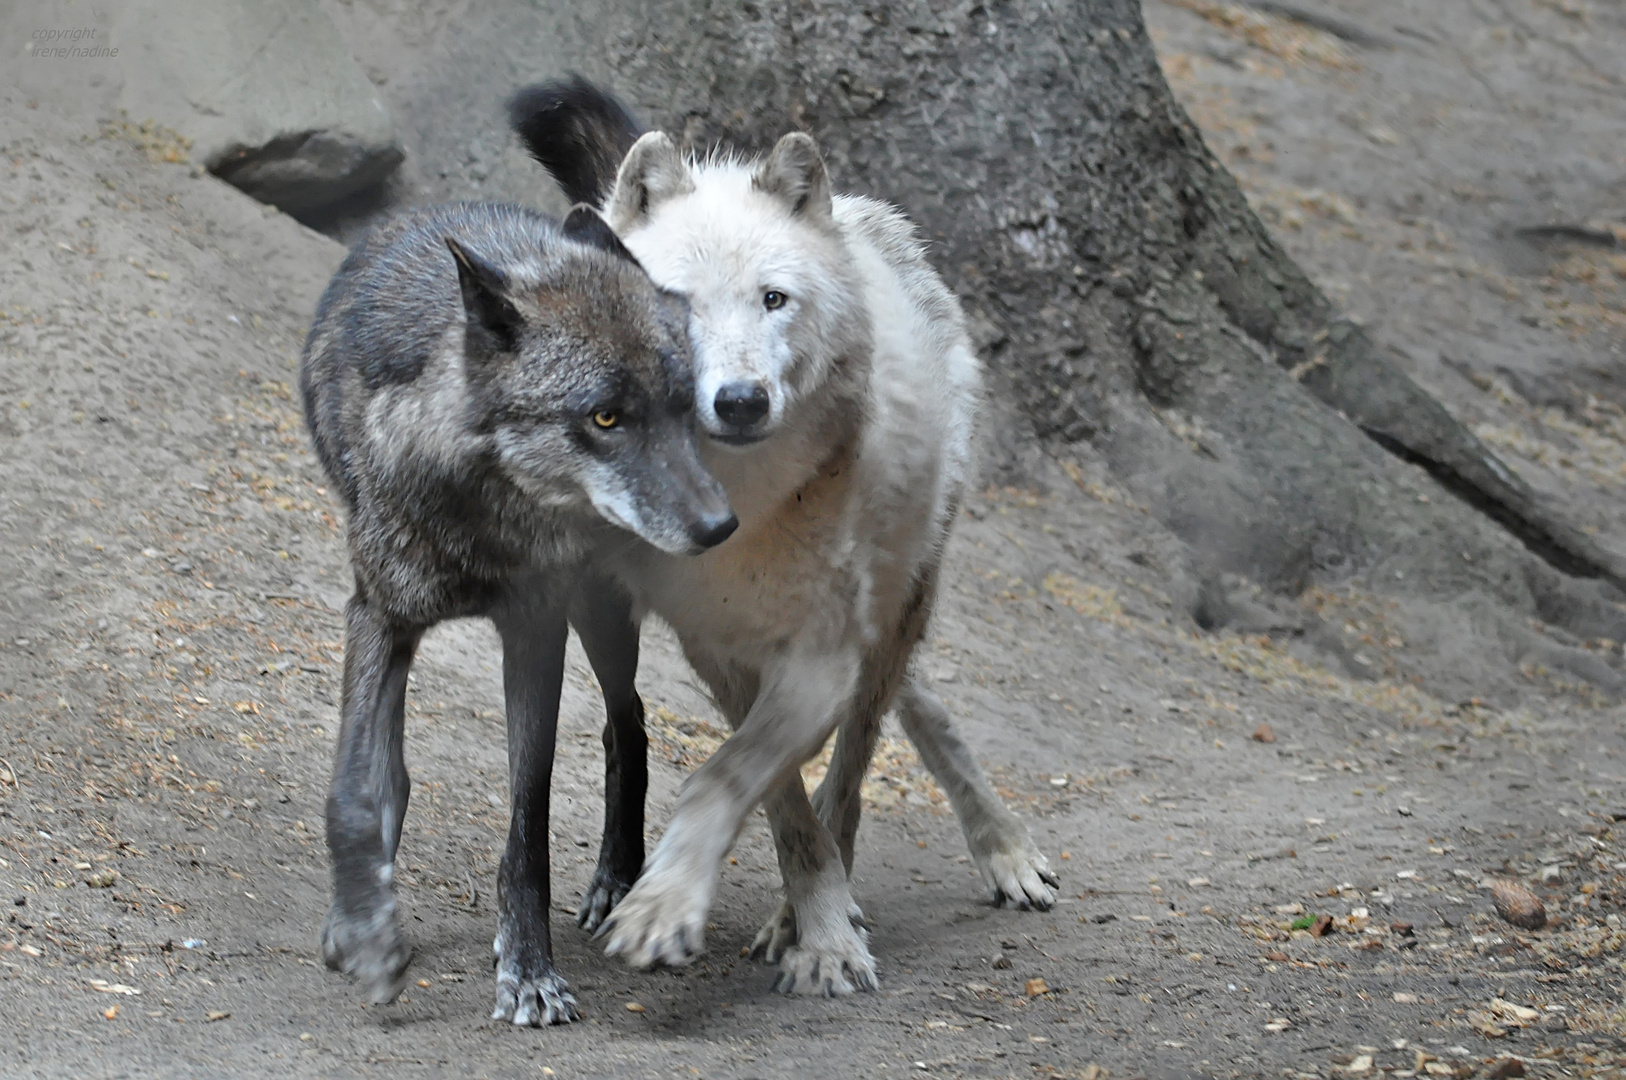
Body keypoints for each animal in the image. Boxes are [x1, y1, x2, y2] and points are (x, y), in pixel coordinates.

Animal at [300, 200, 738, 1021]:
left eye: (682, 406)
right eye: (605, 418)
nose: (719, 527)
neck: (484, 518)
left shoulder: (536, 630)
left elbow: (527, 825)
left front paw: (528, 968)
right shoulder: (376, 614)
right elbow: (355, 787)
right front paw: (364, 927)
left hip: (598, 610)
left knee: (628, 723)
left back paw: (616, 880)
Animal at [513, 82, 1060, 995]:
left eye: (773, 299)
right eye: (677, 302)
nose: (740, 400)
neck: (743, 502)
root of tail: (869, 221)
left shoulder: (820, 656)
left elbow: (733, 778)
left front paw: (812, 938)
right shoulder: (717, 650)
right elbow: (775, 800)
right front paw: (797, 914)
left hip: (896, 606)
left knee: (860, 761)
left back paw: (964, 865)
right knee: (899, 712)